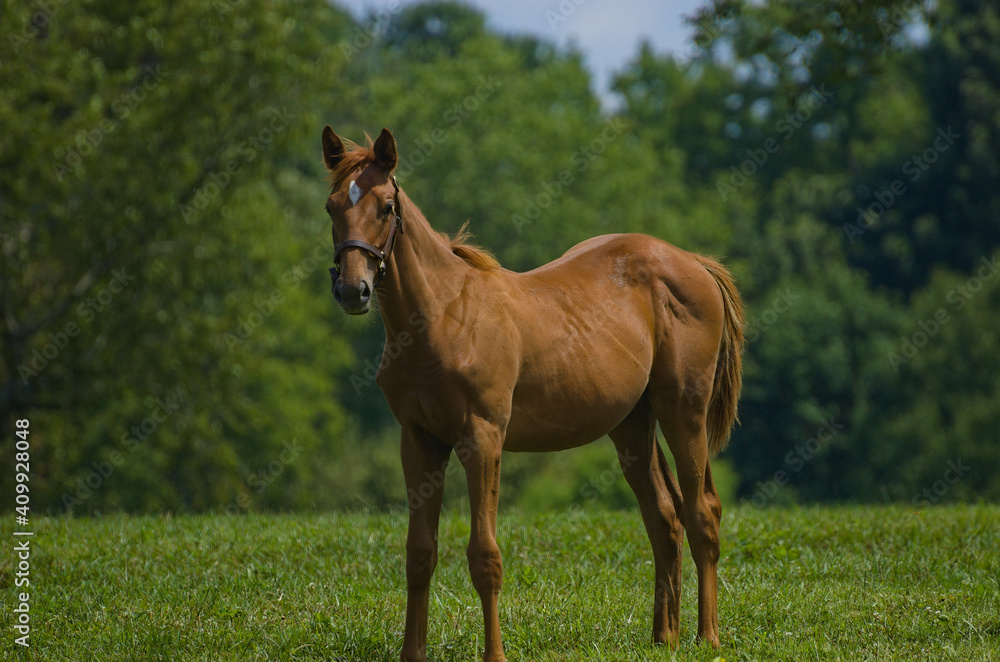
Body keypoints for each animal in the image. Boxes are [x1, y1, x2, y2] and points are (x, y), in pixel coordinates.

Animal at [321, 125, 745, 662]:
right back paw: (663, 637)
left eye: (385, 207)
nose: (352, 290)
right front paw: (411, 654)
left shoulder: (482, 439)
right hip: (632, 424)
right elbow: (420, 553)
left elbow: (485, 555)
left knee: (700, 512)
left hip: (683, 410)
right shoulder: (419, 441)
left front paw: (495, 654)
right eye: (332, 206)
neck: (442, 317)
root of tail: (695, 263)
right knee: (664, 518)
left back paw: (707, 636)